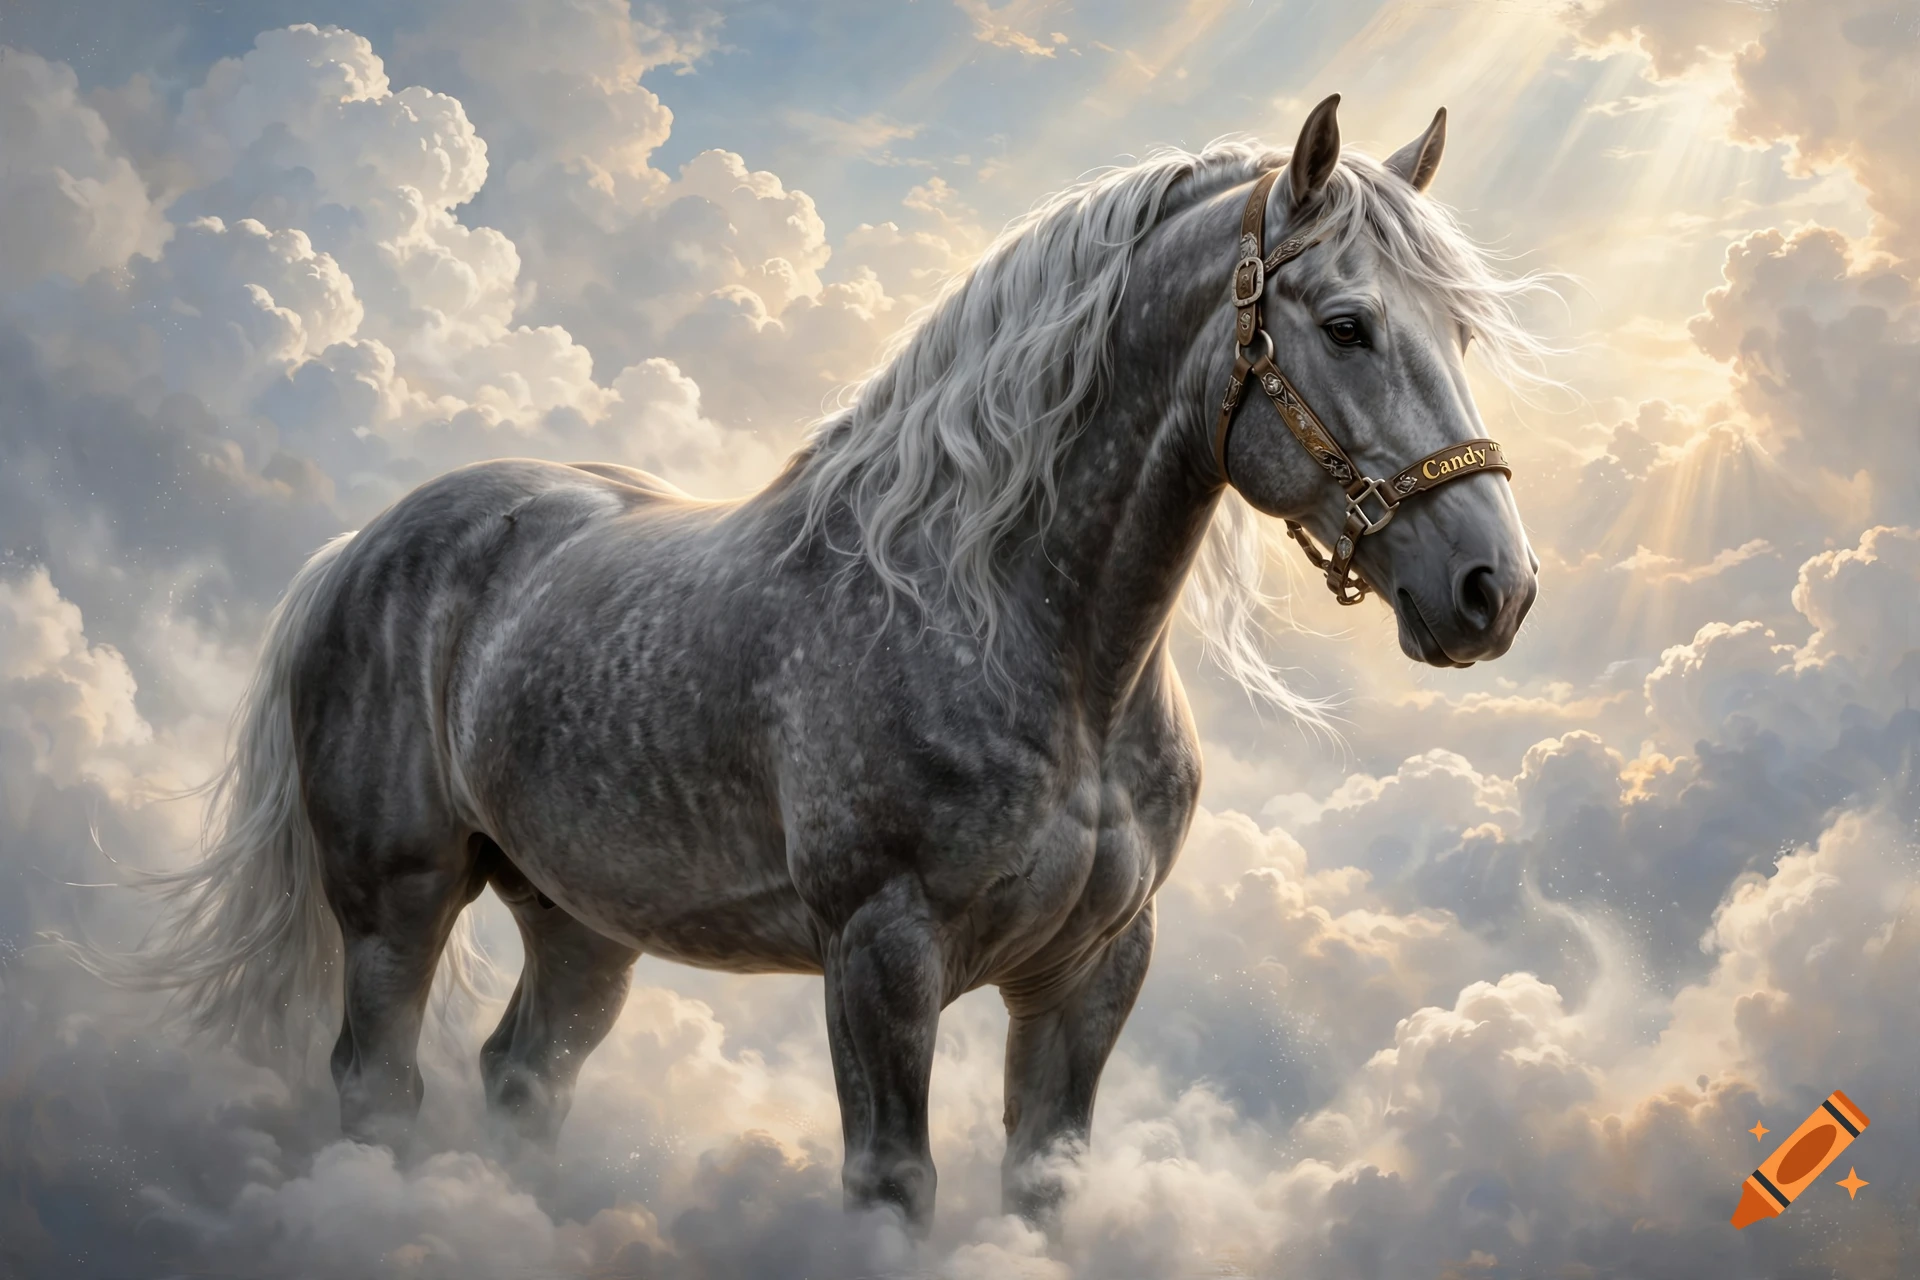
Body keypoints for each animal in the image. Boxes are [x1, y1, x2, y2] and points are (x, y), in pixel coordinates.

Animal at [138, 94, 1545, 1230]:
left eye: (1461, 335)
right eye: (1348, 325)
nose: (1495, 587)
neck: (1024, 640)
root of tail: (364, 545)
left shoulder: (1094, 972)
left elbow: (1042, 1186)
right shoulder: (881, 955)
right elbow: (892, 1183)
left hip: (583, 922)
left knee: (524, 1075)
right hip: (399, 897)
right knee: (379, 1080)